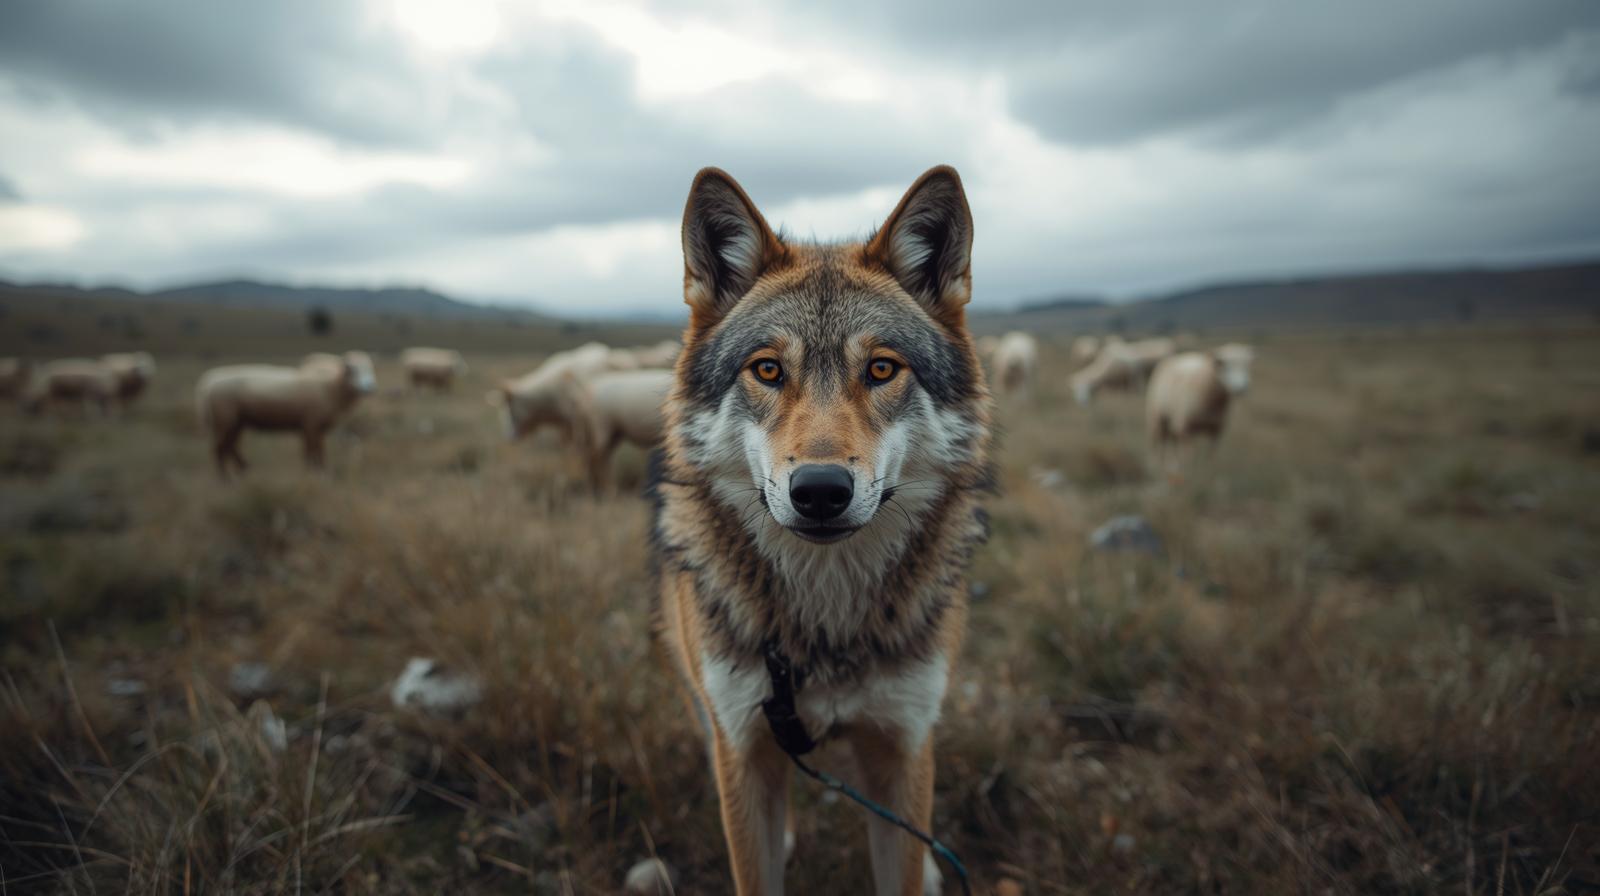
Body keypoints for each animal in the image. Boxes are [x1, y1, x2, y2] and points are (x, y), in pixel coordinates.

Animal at [651, 165, 993, 895]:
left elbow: (901, 867)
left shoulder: (902, 747)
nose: (820, 492)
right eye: (768, 369)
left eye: (882, 368)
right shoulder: (744, 749)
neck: (827, 619)